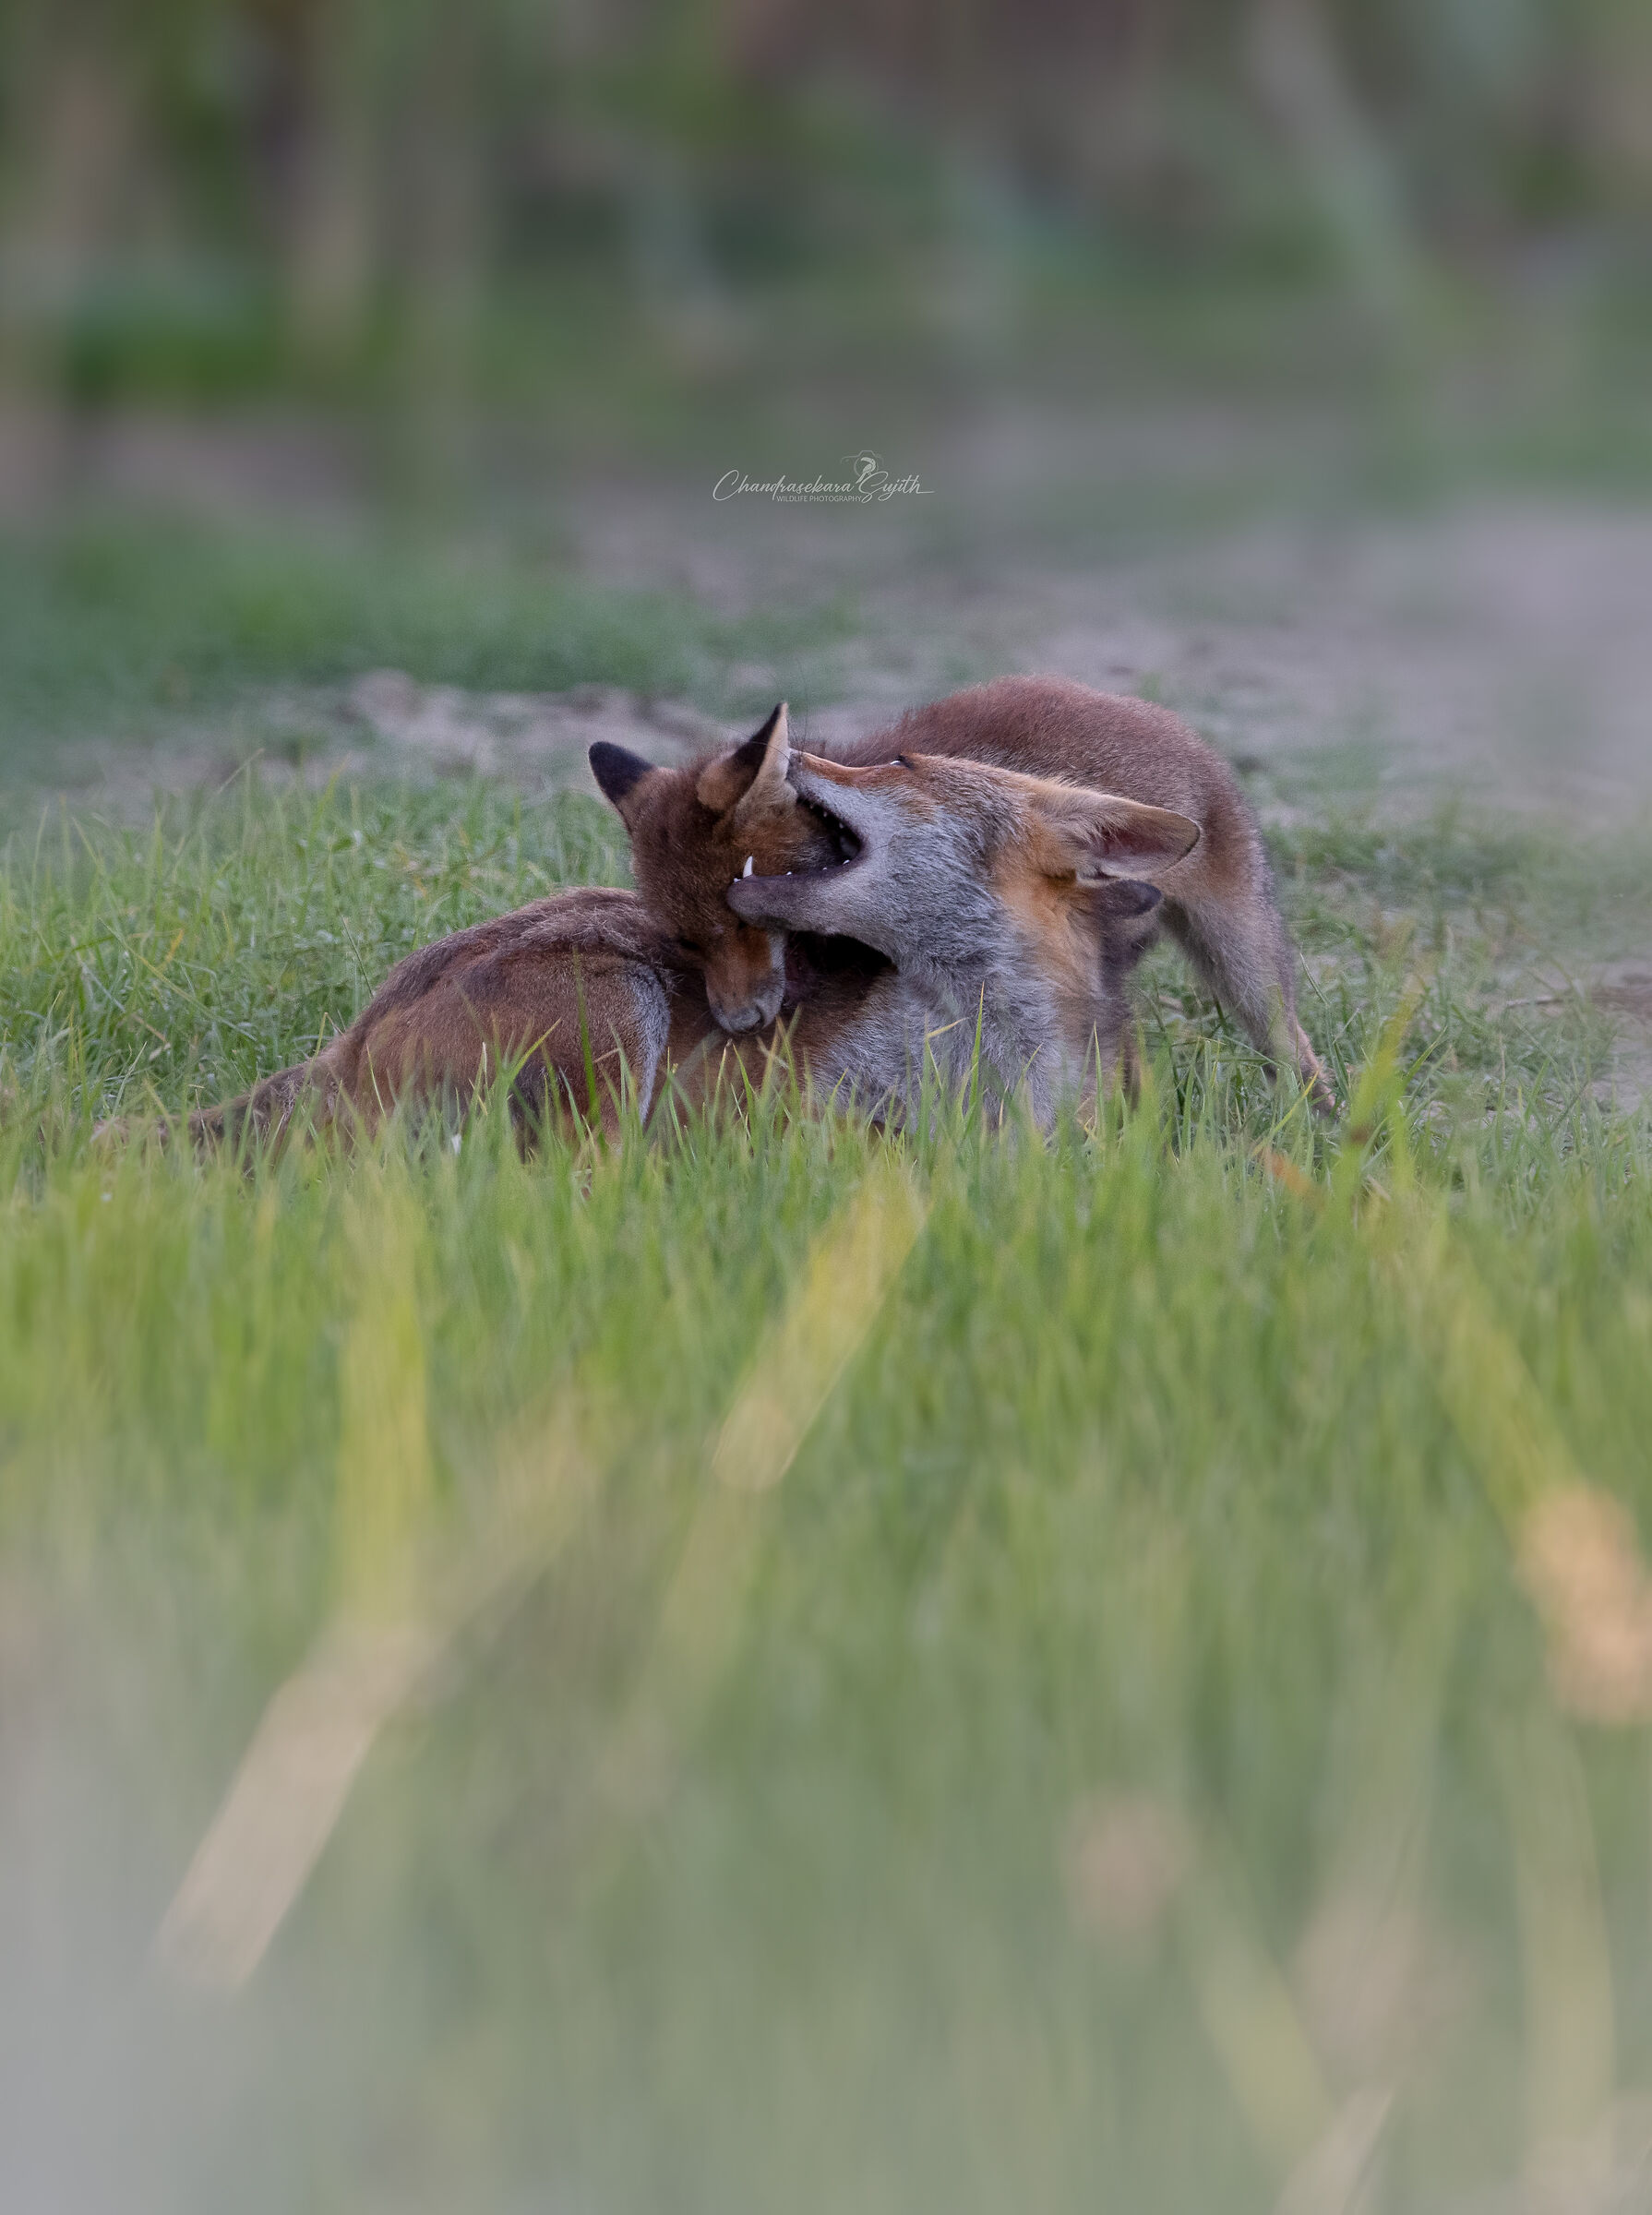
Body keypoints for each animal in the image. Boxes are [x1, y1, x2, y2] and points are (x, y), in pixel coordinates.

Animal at [590, 678, 1331, 1107]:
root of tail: (1146, 709)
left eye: (738, 926)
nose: (740, 1024)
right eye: (688, 942)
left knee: (1292, 1047)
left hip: (1243, 961)